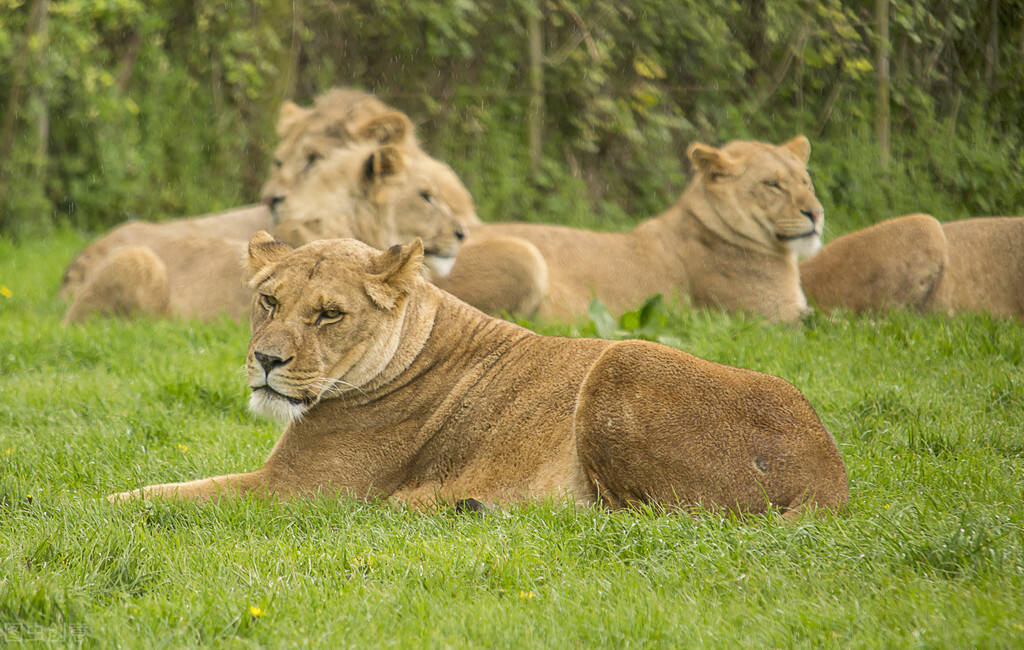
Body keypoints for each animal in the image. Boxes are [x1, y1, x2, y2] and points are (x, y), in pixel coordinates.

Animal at [110, 234, 847, 517]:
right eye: (268, 301)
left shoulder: (298, 492)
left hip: (624, 360)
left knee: (637, 516)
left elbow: (166, 494)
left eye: (328, 314)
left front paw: (90, 505)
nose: (267, 360)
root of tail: (831, 475)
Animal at [444, 135, 827, 325]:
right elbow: (833, 321)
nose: (817, 213)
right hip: (523, 254)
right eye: (773, 185)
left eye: (805, 182)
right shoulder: (773, 320)